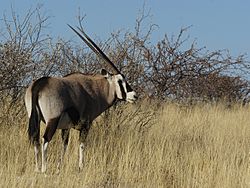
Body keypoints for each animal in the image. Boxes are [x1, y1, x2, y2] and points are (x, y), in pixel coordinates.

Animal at [25, 25, 138, 173]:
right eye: (120, 81)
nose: (134, 95)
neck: (94, 89)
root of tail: (39, 85)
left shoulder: (65, 128)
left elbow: (64, 146)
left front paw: (59, 169)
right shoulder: (85, 125)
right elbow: (82, 145)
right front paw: (80, 167)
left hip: (35, 119)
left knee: (36, 139)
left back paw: (37, 168)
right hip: (52, 120)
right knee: (45, 140)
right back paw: (44, 170)